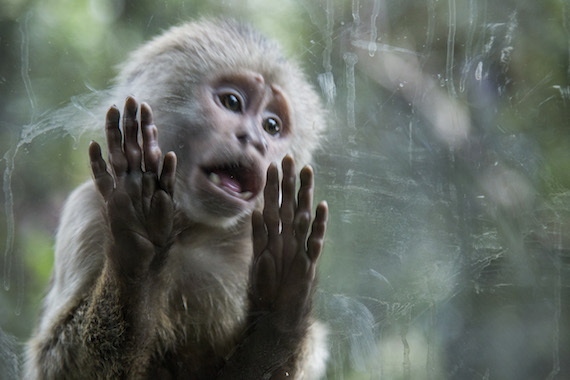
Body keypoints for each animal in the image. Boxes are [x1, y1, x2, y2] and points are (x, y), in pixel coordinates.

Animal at [23, 18, 328, 380]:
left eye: (271, 125)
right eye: (232, 102)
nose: (256, 140)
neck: (188, 229)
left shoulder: (245, 245)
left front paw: (279, 306)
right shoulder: (86, 211)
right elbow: (56, 362)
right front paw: (138, 250)